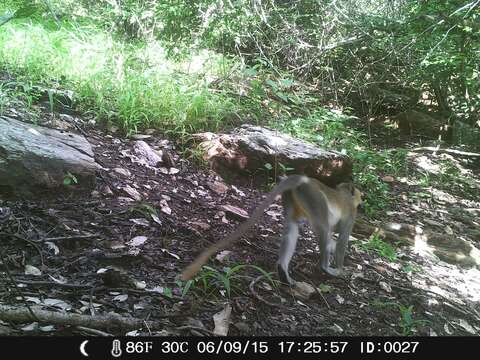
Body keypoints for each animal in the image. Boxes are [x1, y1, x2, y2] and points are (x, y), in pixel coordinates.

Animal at [181, 174, 364, 284]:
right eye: (359, 195)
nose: (362, 200)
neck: (344, 194)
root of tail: (303, 180)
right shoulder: (352, 214)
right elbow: (342, 239)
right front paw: (340, 268)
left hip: (293, 196)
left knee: (292, 227)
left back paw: (283, 269)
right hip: (314, 198)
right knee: (323, 229)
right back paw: (325, 267)